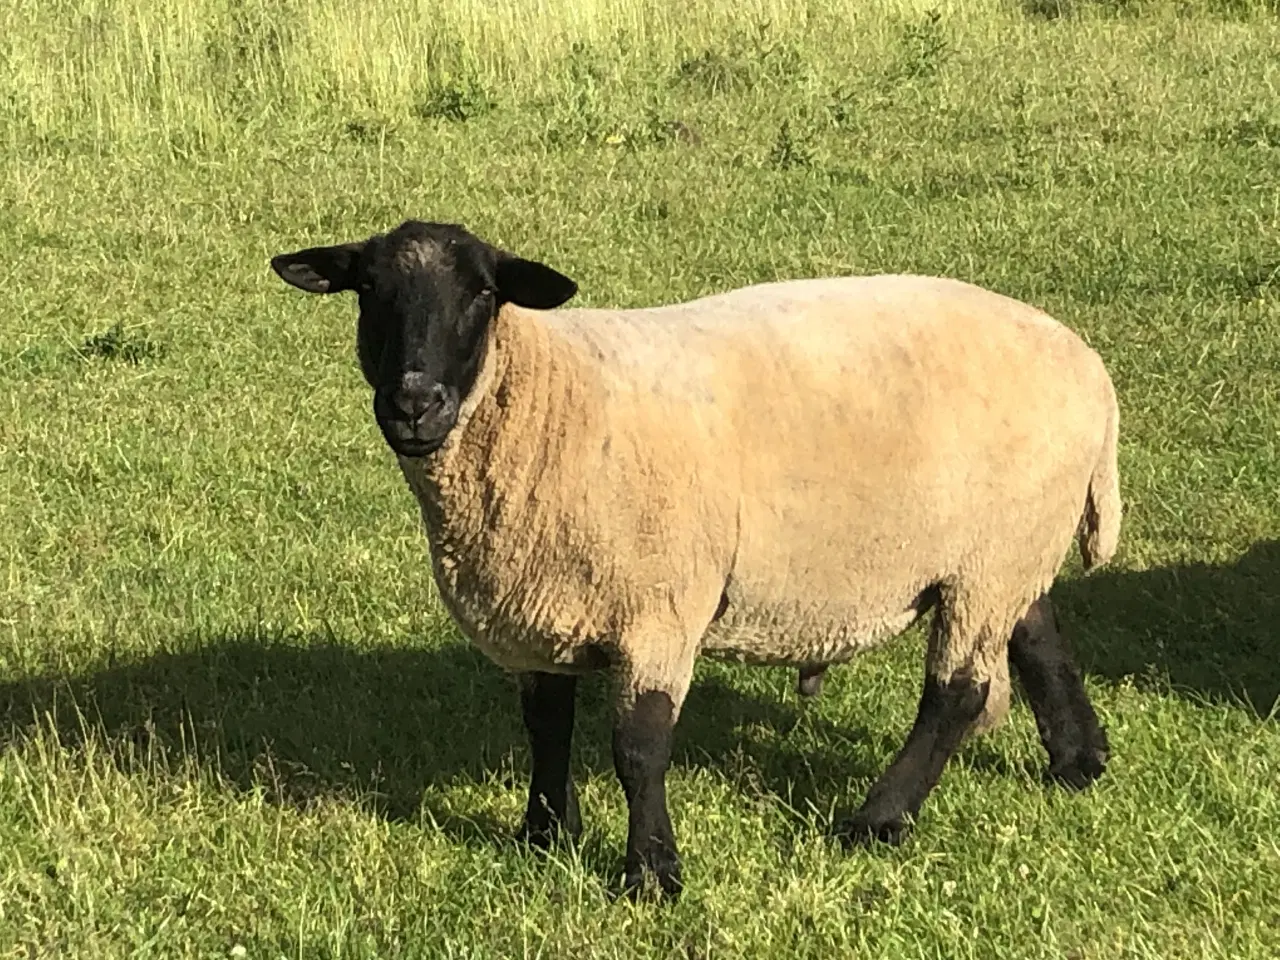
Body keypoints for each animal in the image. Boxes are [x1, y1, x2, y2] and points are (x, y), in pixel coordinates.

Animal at [270, 221, 1121, 906]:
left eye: (483, 293)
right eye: (367, 289)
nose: (415, 404)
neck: (551, 398)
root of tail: (1090, 367)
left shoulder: (659, 607)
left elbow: (639, 748)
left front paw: (651, 875)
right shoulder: (542, 603)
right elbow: (545, 726)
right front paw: (542, 836)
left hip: (993, 554)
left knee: (956, 694)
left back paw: (878, 819)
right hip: (1004, 543)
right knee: (1037, 634)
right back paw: (1078, 761)